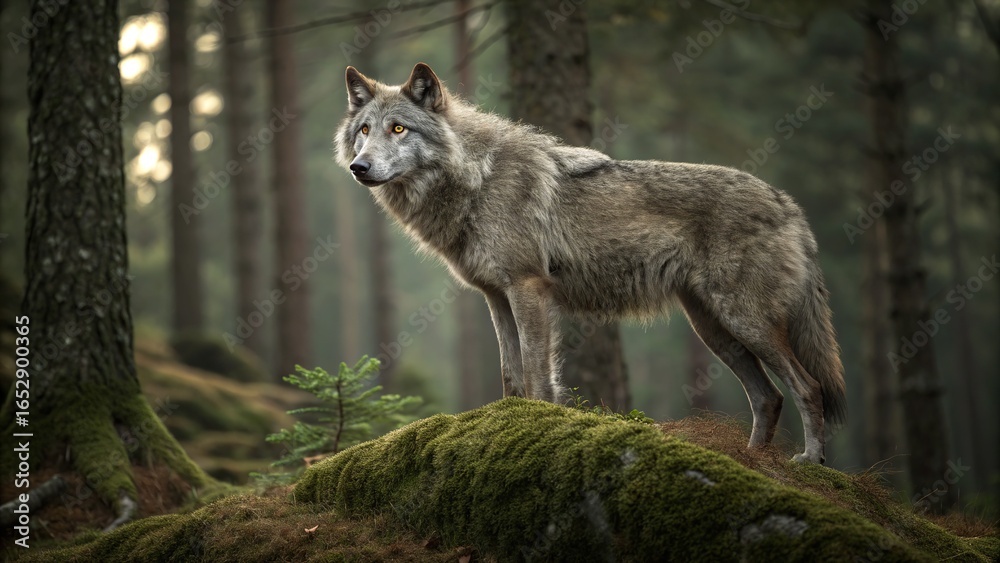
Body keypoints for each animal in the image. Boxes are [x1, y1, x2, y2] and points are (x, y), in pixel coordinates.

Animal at [336, 63, 847, 464]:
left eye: (398, 129)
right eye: (364, 131)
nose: (358, 168)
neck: (476, 179)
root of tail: (789, 206)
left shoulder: (529, 289)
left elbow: (538, 377)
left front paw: (534, 427)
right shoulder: (497, 297)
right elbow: (510, 376)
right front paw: (507, 424)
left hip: (744, 322)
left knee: (808, 388)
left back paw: (809, 462)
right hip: (716, 331)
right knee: (769, 397)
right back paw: (753, 461)